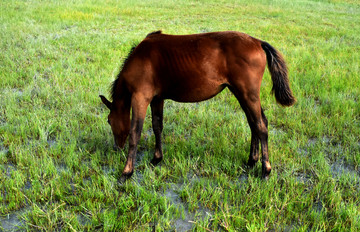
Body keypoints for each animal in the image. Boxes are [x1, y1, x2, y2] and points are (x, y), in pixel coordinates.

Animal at [99, 30, 296, 179]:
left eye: (109, 121)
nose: (117, 147)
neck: (139, 59)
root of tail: (258, 42)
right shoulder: (157, 98)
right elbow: (157, 126)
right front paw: (156, 158)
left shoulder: (141, 97)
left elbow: (135, 133)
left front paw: (127, 171)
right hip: (241, 93)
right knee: (254, 123)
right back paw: (251, 161)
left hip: (248, 94)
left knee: (260, 126)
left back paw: (265, 170)